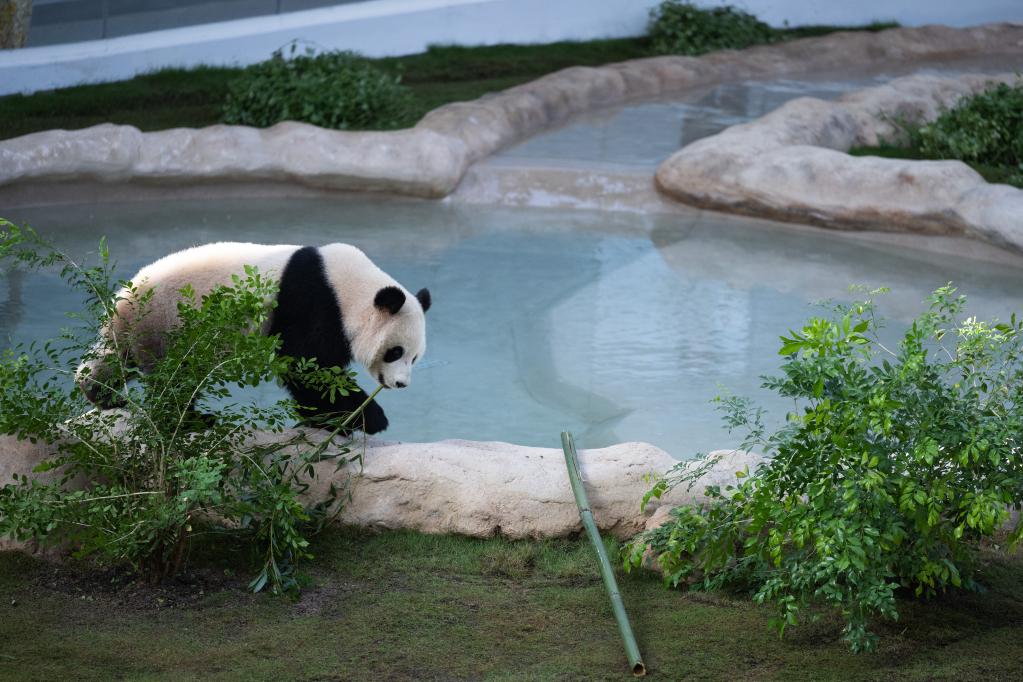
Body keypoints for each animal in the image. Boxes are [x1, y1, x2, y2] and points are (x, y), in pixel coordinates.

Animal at [77, 241, 429, 431]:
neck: (347, 287)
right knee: (174, 379)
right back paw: (193, 420)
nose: (401, 384)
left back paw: (102, 394)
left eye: (414, 357)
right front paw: (365, 418)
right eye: (395, 352)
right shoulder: (313, 304)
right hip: (167, 326)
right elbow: (307, 366)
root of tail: (123, 300)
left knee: (114, 360)